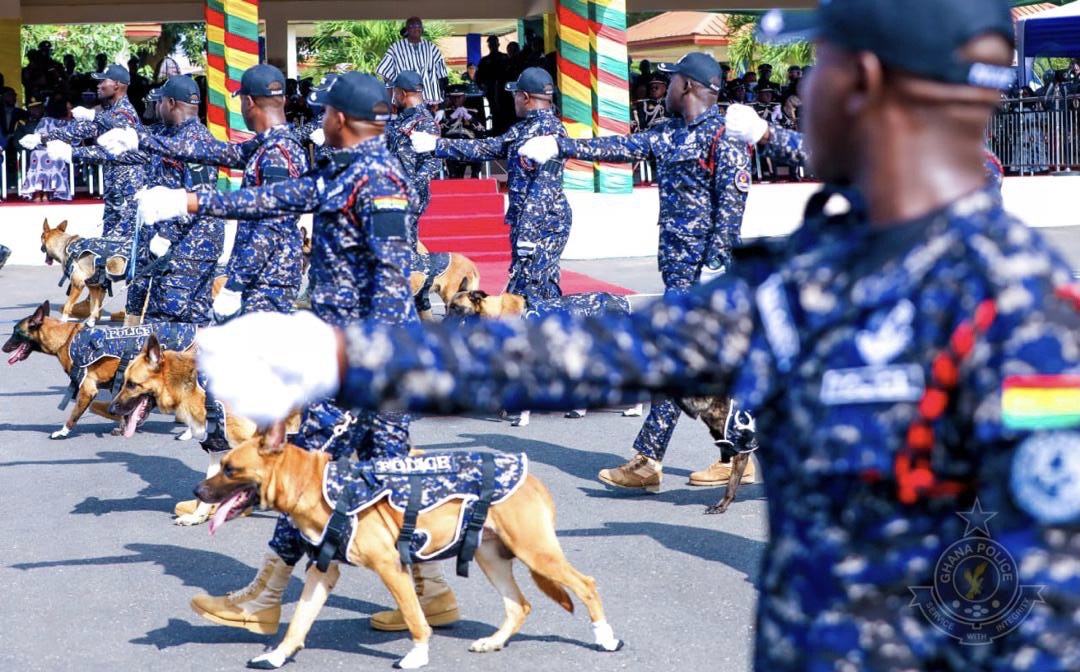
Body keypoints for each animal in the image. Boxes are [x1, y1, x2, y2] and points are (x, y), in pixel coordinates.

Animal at [190, 429, 622, 669]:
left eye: (230, 469)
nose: (196, 491)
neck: (314, 485)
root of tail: (532, 478)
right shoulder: (322, 572)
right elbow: (298, 623)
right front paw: (277, 656)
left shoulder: (391, 568)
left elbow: (416, 618)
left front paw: (417, 654)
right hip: (491, 558)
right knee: (520, 605)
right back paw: (494, 642)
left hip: (536, 553)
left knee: (586, 585)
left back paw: (605, 637)